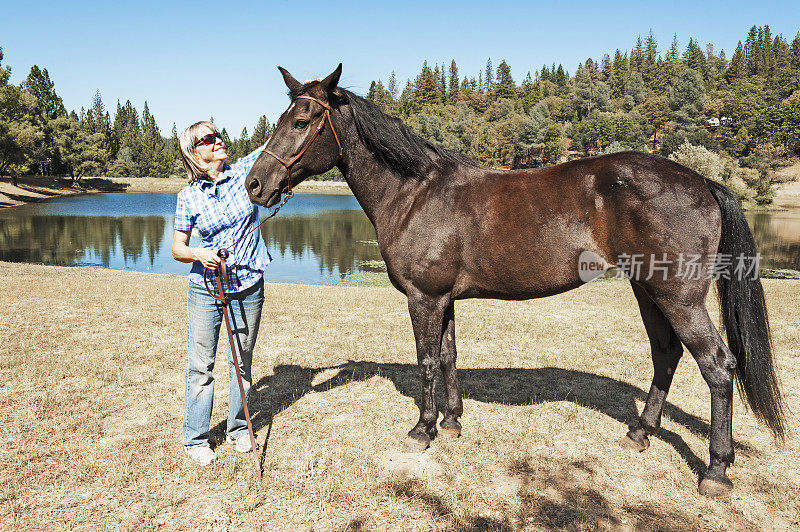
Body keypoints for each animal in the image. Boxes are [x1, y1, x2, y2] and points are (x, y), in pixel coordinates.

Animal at [242, 64, 780, 496]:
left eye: (302, 121)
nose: (254, 184)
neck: (415, 191)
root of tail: (702, 180)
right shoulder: (445, 298)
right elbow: (448, 355)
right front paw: (453, 422)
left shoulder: (424, 298)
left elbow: (425, 360)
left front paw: (423, 430)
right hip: (647, 290)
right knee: (666, 355)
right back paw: (640, 433)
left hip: (679, 297)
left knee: (717, 365)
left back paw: (716, 471)